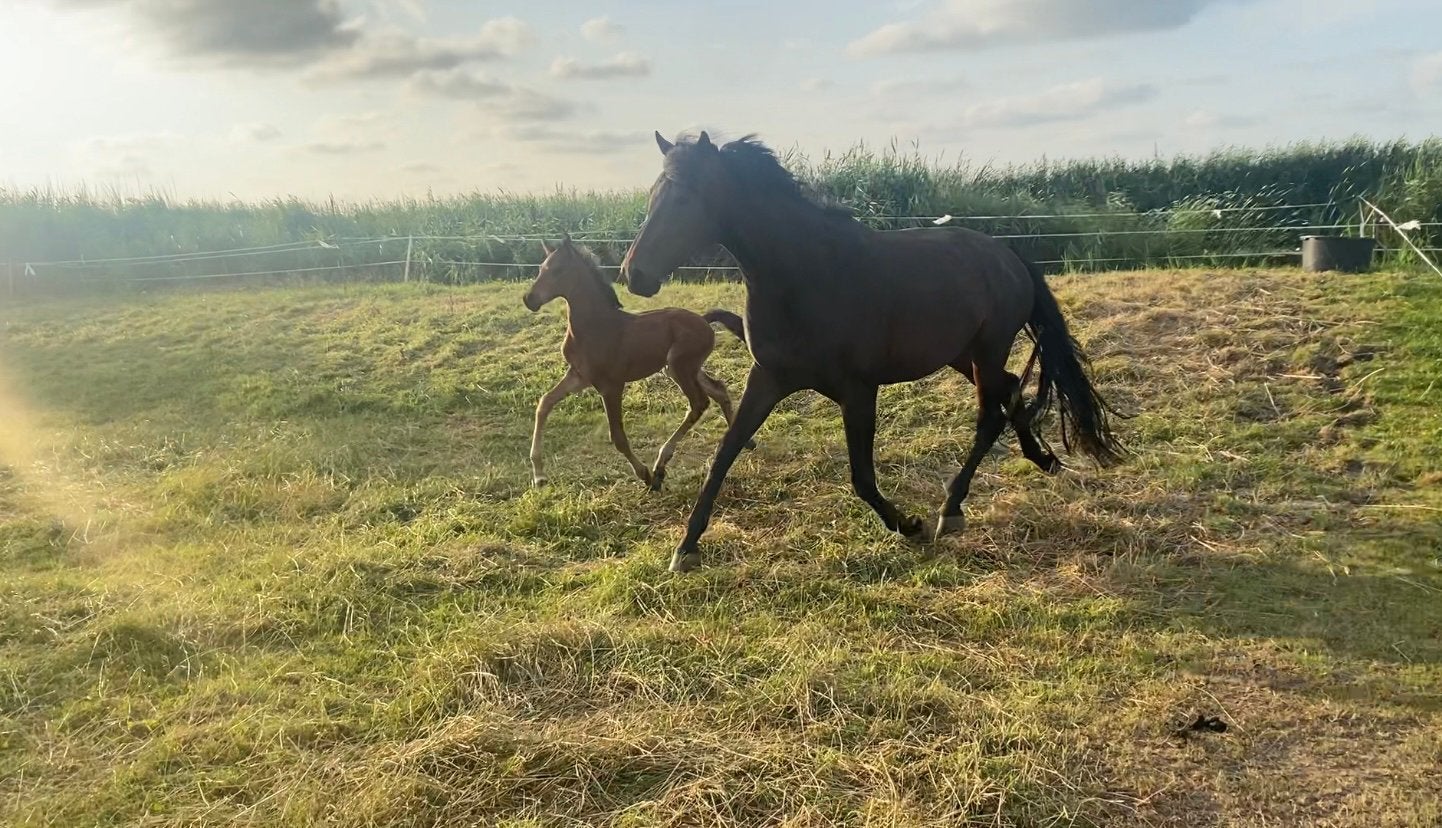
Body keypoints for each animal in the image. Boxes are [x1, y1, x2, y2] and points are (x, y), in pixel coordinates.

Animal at [522, 235, 749, 491]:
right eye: (541, 269)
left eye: (558, 270)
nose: (529, 299)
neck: (594, 327)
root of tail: (703, 320)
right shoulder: (579, 376)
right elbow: (544, 403)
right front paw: (539, 475)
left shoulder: (611, 385)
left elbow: (618, 437)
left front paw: (645, 475)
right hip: (681, 369)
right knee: (718, 388)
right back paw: (746, 441)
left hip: (680, 367)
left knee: (699, 403)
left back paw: (660, 467)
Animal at [620, 131, 1126, 572]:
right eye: (653, 196)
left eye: (684, 198)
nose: (633, 275)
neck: (806, 275)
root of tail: (1007, 255)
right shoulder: (767, 378)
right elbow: (723, 456)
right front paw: (685, 549)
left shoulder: (858, 390)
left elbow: (862, 476)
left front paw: (909, 526)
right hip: (962, 355)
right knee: (1012, 391)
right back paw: (1044, 460)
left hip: (988, 349)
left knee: (990, 417)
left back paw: (951, 509)